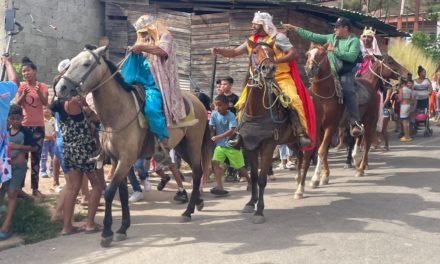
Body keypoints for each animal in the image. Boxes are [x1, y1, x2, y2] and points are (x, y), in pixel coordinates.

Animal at [54, 47, 212, 248]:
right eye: (72, 61)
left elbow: (109, 192)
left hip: (193, 144)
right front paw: (123, 228)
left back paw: (188, 211)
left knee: (198, 172)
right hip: (181, 147)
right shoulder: (117, 160)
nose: (60, 88)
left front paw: (107, 233)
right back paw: (197, 203)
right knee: (196, 172)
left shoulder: (126, 159)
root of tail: (199, 102)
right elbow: (121, 194)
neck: (118, 114)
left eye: (86, 63)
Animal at [239, 40, 322, 224]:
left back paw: (300, 189)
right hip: (291, 141)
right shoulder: (249, 145)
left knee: (306, 160)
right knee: (299, 157)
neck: (256, 110)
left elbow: (262, 179)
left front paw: (259, 211)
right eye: (254, 52)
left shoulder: (269, 145)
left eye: (271, 53)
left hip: (313, 137)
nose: (268, 68)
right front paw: (250, 203)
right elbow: (253, 177)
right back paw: (297, 182)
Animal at [304, 42, 410, 185]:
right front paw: (324, 176)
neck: (323, 96)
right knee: (361, 140)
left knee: (367, 144)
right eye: (308, 54)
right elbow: (323, 150)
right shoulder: (320, 128)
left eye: (321, 54)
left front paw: (316, 178)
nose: (408, 74)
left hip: (370, 121)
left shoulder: (331, 127)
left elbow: (322, 150)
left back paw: (361, 168)